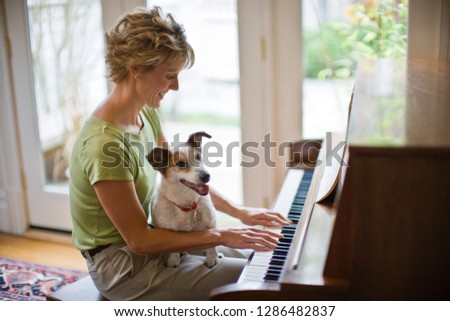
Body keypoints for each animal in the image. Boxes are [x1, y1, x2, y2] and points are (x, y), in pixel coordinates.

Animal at [147, 131, 219, 268]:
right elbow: (172, 247)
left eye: (198, 157)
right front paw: (173, 261)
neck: (186, 203)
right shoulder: (168, 232)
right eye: (180, 163)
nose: (206, 176)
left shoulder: (211, 224)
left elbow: (212, 245)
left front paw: (211, 259)